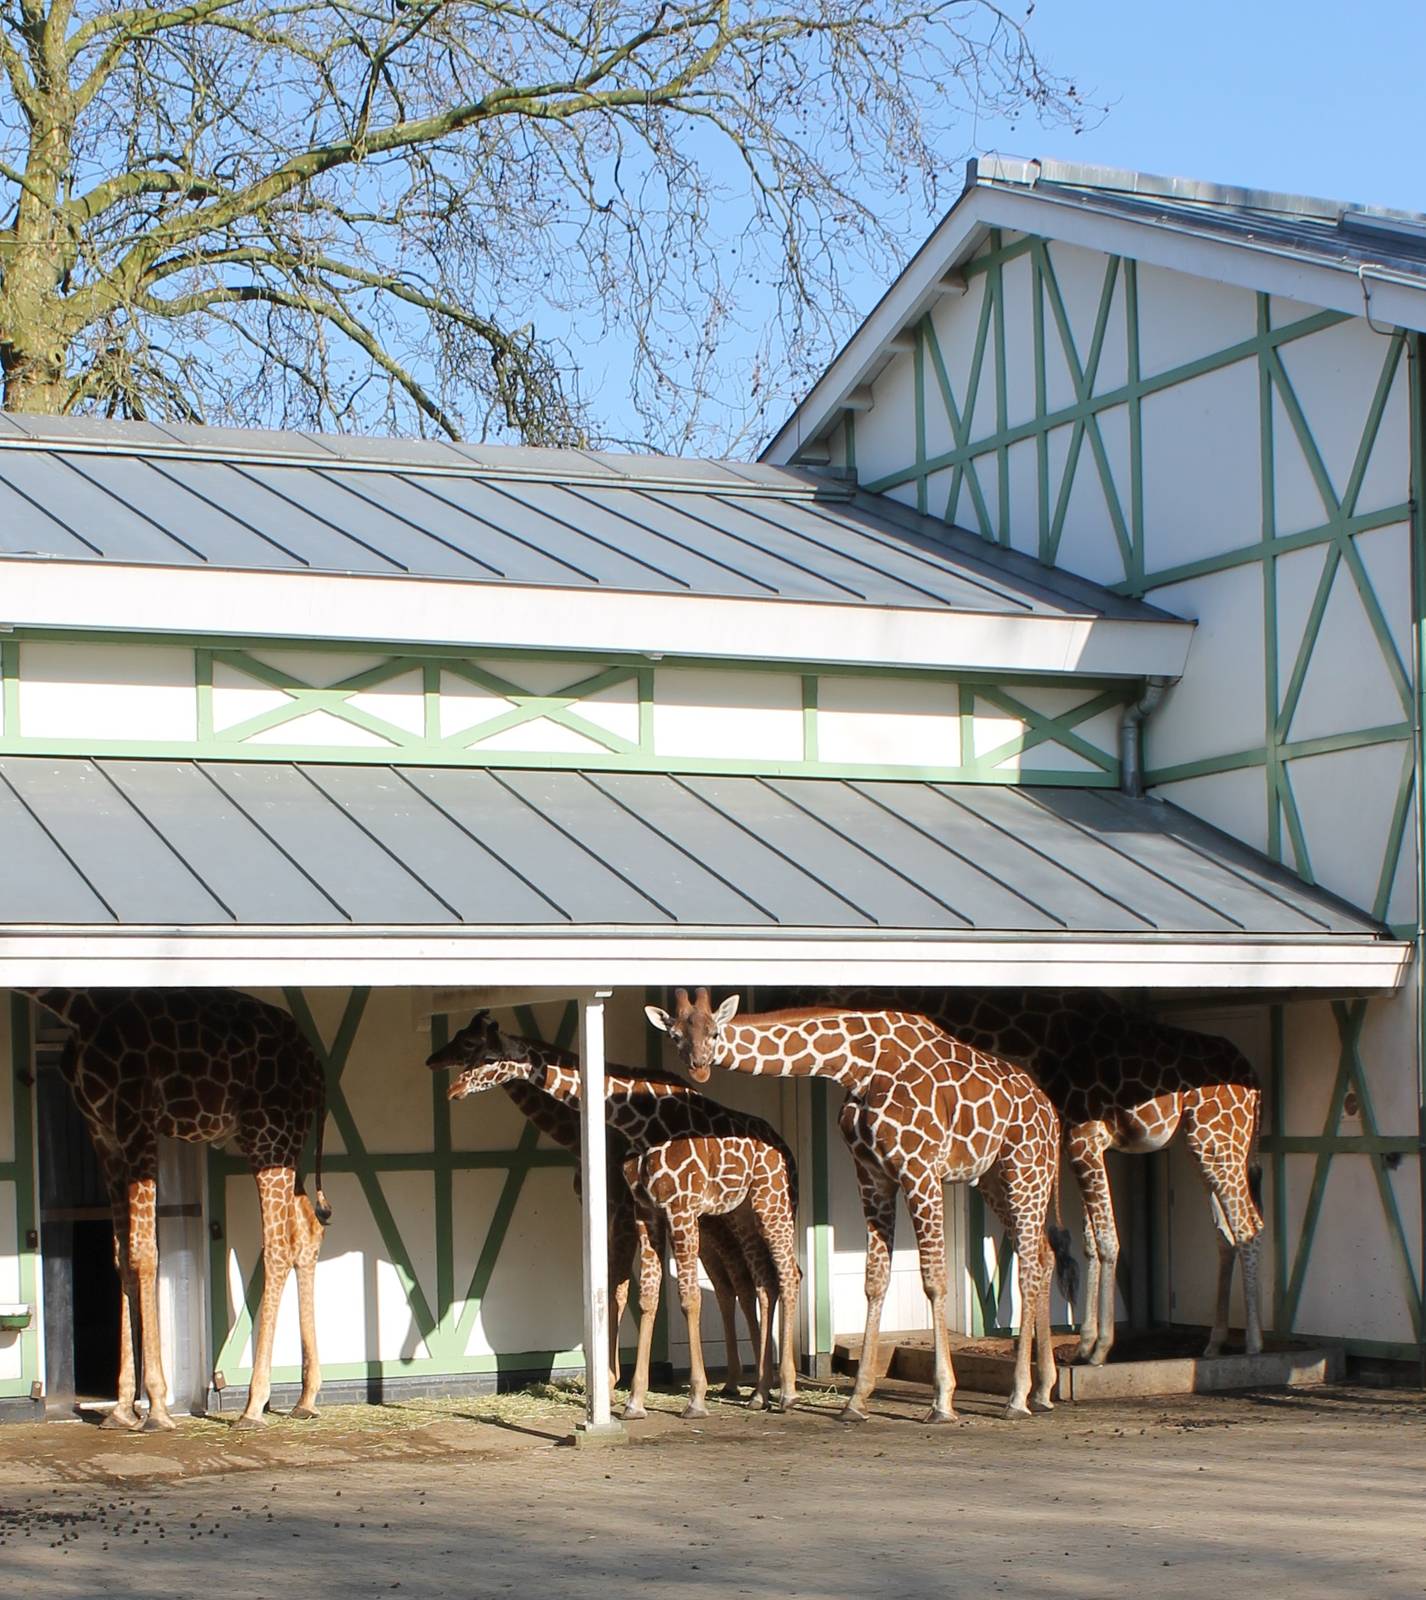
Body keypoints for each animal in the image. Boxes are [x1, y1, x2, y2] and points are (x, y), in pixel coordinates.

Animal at [24, 988, 329, 1432]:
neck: (79, 1007)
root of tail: (317, 1069)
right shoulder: (102, 1132)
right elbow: (121, 1255)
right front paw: (121, 1409)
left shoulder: (136, 1120)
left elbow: (144, 1251)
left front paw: (156, 1407)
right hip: (280, 1141)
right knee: (307, 1229)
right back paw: (306, 1398)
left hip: (268, 1133)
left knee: (277, 1246)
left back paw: (254, 1406)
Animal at [495, 1078, 764, 1398]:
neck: (576, 1135)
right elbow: (609, 1287)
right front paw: (609, 1378)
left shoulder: (622, 1215)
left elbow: (616, 1290)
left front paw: (610, 1380)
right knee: (726, 1285)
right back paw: (736, 1380)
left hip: (721, 1219)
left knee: (745, 1278)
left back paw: (756, 1382)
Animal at [648, 989, 1077, 1424]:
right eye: (675, 1035)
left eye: (715, 1032)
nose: (699, 1067)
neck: (857, 1063)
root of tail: (1052, 1115)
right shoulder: (872, 1175)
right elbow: (874, 1281)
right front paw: (856, 1400)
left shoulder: (921, 1170)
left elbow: (934, 1280)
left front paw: (942, 1400)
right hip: (993, 1178)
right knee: (1043, 1255)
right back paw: (1043, 1390)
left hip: (1025, 1168)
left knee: (1028, 1266)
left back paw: (1017, 1397)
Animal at [783, 986, 1263, 1365]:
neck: (1035, 1034)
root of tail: (1256, 1082)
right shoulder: (1075, 1139)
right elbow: (1089, 1241)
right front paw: (1084, 1344)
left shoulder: (1085, 1136)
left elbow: (1105, 1240)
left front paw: (1099, 1348)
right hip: (1206, 1142)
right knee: (1226, 1232)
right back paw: (1215, 1344)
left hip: (1216, 1138)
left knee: (1247, 1225)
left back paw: (1255, 1344)